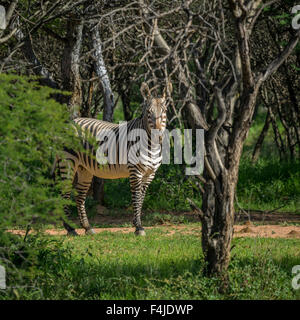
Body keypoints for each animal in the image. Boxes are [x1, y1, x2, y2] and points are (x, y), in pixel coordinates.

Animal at [55, 82, 171, 238]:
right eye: (148, 112)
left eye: (164, 111)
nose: (158, 136)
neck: (151, 146)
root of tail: (70, 122)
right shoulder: (135, 171)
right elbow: (136, 197)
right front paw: (138, 227)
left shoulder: (150, 174)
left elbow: (141, 198)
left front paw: (137, 225)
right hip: (68, 162)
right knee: (65, 194)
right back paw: (70, 229)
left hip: (84, 169)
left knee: (79, 197)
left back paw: (87, 228)